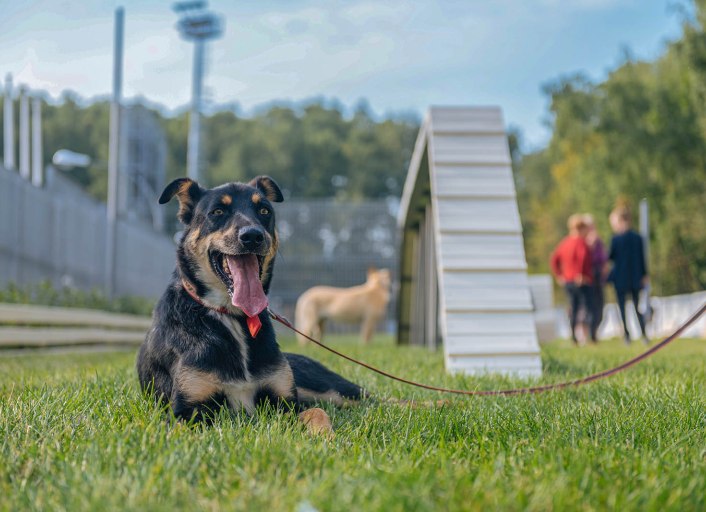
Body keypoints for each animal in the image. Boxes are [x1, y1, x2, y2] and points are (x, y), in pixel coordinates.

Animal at [137, 177, 364, 436]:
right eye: (217, 211)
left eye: (264, 211)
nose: (253, 236)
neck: (233, 317)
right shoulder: (186, 410)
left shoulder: (286, 404)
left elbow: (317, 413)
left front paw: (325, 435)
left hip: (330, 390)